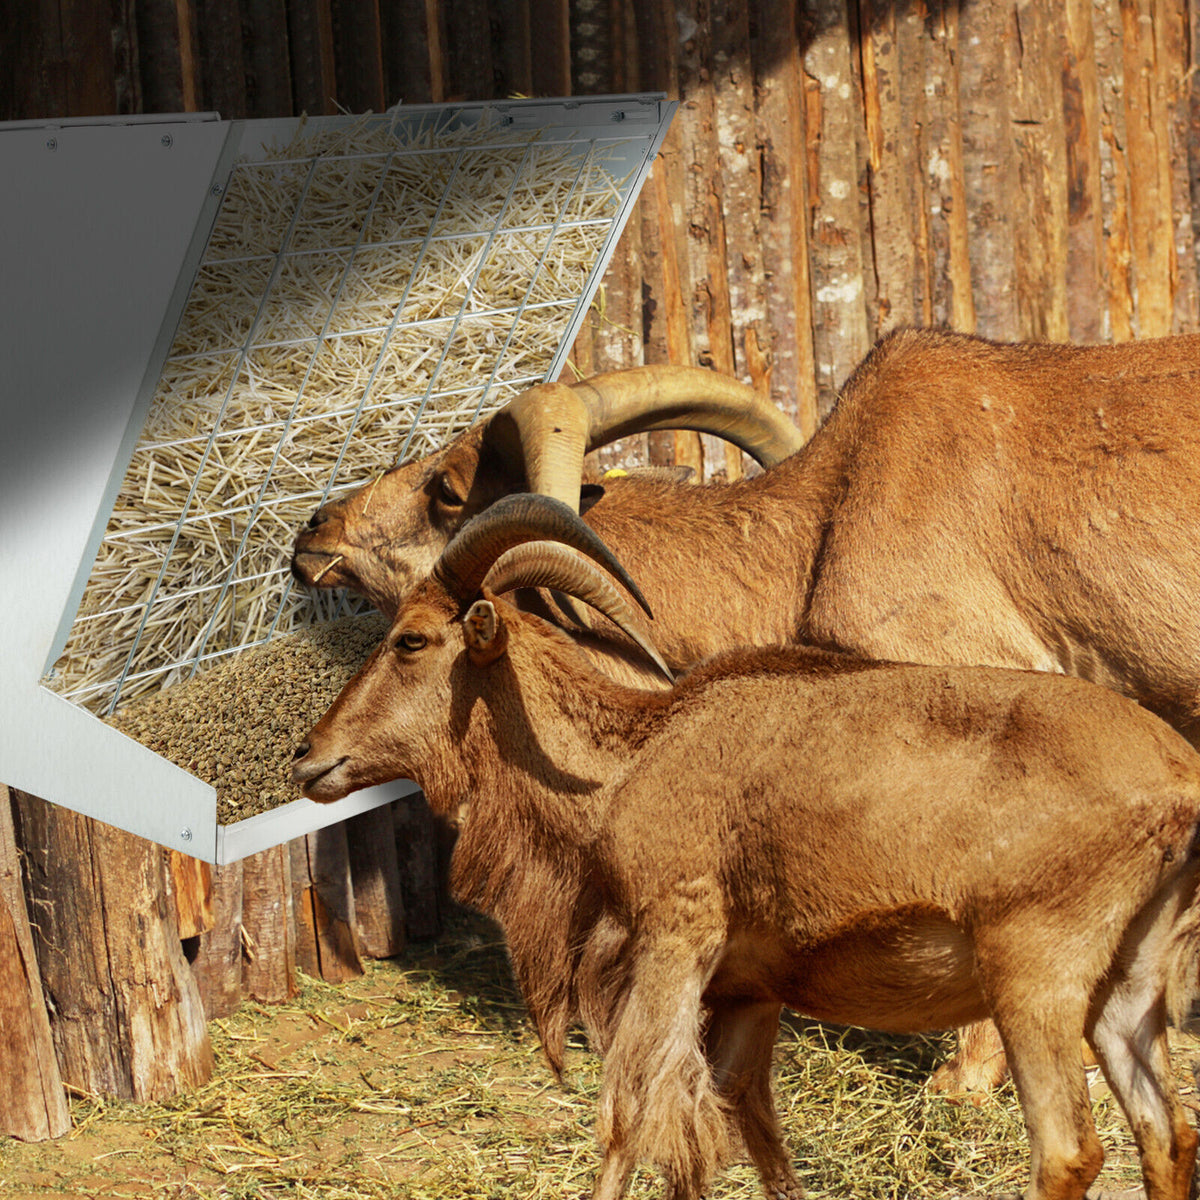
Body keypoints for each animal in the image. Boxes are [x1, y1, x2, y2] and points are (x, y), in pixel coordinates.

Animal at [292, 494, 1200, 1200]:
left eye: (411, 641)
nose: (309, 756)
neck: (629, 759)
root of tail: (1180, 780)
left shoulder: (673, 941)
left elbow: (632, 1118)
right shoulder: (750, 992)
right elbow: (748, 1130)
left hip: (1036, 976)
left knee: (1070, 1153)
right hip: (1128, 986)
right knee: (1167, 1133)